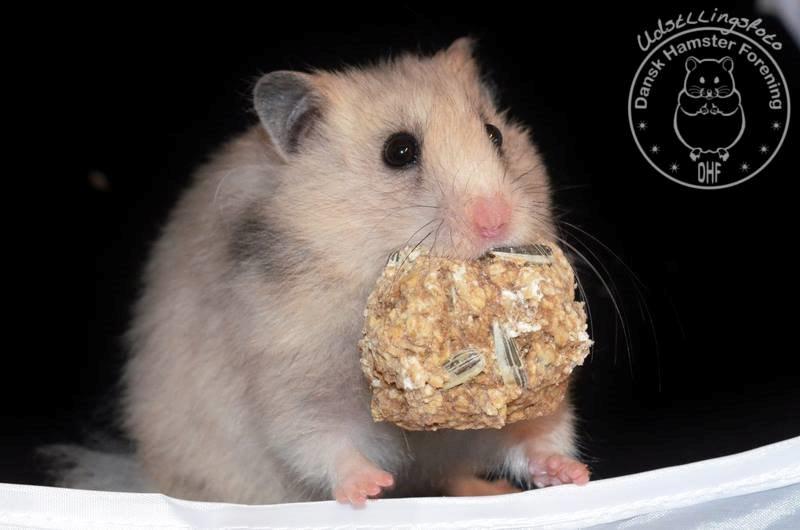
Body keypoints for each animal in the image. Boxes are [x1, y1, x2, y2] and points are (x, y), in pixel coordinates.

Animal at [122, 37, 590, 507]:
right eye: (398, 151)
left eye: (495, 134)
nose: (495, 220)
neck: (364, 277)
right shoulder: (290, 380)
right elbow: (322, 441)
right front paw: (371, 488)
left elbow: (533, 433)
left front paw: (575, 474)